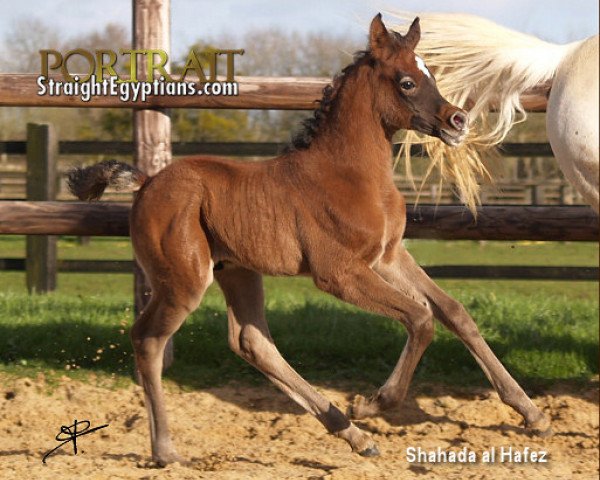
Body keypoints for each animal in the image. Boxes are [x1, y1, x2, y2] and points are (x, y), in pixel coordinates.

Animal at [68, 15, 552, 464]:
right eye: (408, 81)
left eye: (430, 71)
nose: (458, 120)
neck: (351, 174)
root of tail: (147, 181)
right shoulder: (338, 273)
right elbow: (420, 318)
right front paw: (373, 403)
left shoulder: (389, 256)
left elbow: (453, 312)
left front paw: (531, 412)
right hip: (183, 281)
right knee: (149, 340)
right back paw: (166, 450)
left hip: (237, 271)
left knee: (252, 342)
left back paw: (352, 434)